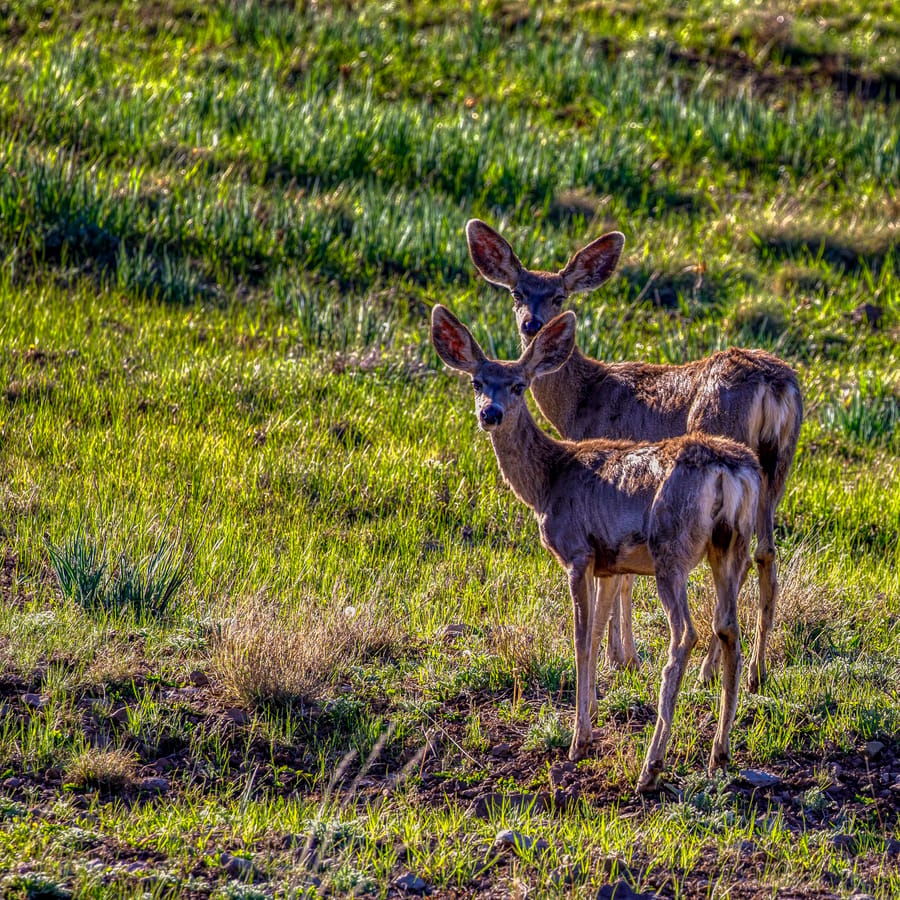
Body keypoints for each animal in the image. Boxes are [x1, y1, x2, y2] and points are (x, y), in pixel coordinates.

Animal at [432, 304, 764, 796]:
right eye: (477, 382)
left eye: (518, 384)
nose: (490, 413)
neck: (548, 482)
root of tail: (729, 471)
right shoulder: (609, 562)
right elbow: (600, 630)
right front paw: (591, 719)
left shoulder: (576, 552)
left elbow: (580, 639)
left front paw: (577, 741)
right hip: (729, 546)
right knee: (728, 629)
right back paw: (719, 755)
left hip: (671, 548)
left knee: (685, 634)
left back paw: (652, 767)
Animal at [464, 221, 800, 692]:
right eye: (517, 292)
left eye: (559, 296)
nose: (533, 324)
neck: (582, 399)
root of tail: (776, 385)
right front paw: (625, 655)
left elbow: (621, 578)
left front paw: (622, 657)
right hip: (776, 467)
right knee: (765, 553)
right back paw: (755, 673)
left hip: (727, 435)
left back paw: (708, 670)